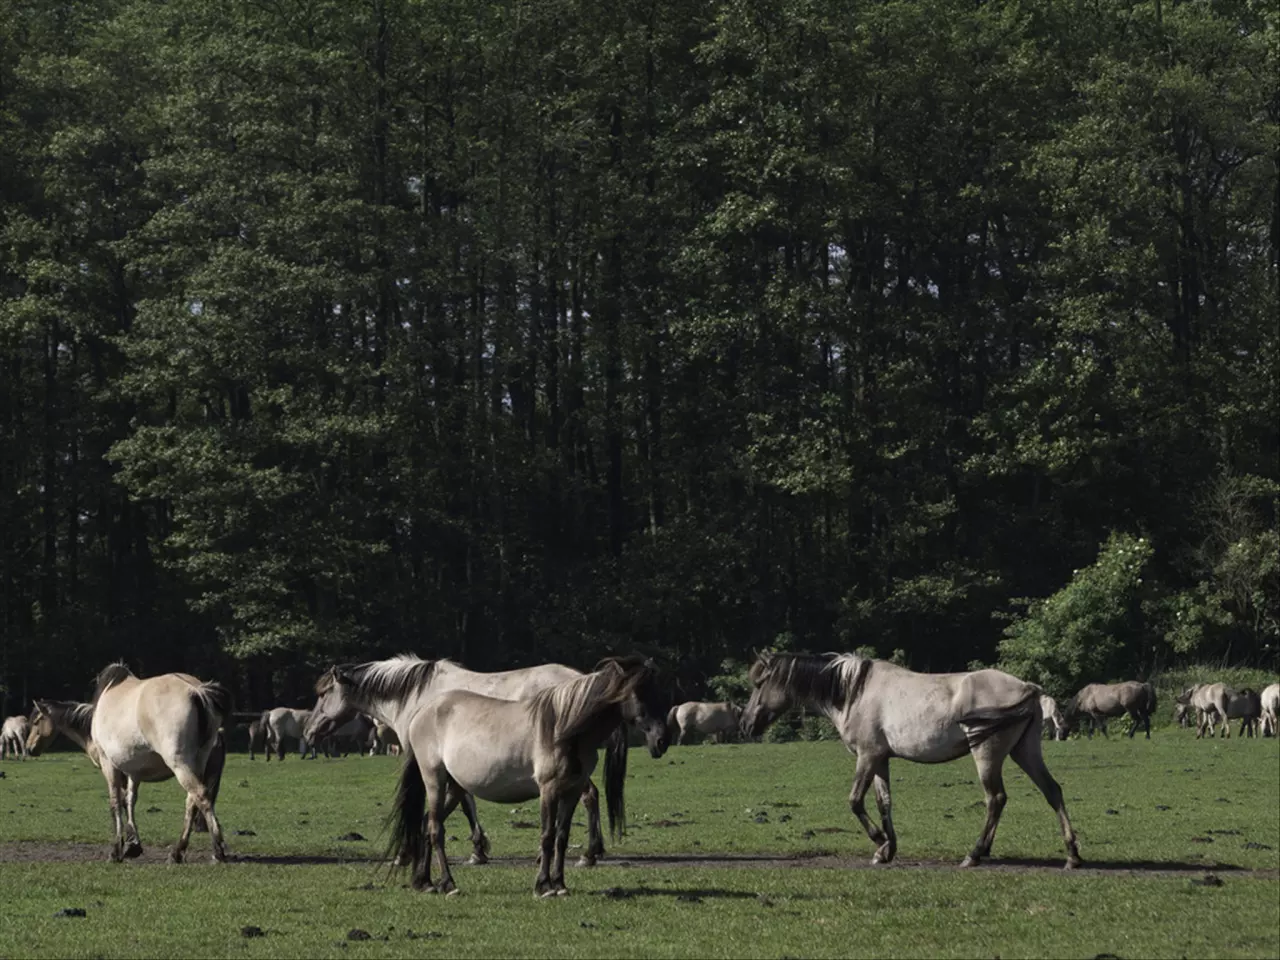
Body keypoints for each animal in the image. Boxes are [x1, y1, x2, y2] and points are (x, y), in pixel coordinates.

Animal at [88, 660, 231, 865]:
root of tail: (196, 691)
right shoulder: (134, 771)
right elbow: (129, 800)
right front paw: (132, 843)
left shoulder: (109, 763)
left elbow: (115, 801)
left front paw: (116, 849)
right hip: (198, 761)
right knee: (192, 801)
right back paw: (178, 851)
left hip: (180, 764)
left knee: (201, 796)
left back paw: (218, 850)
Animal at [309, 660, 629, 870]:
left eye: (323, 694)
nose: (310, 731)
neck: (416, 697)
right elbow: (465, 803)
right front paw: (478, 849)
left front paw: (408, 853)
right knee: (591, 796)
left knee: (589, 796)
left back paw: (587, 854)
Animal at [386, 660, 670, 901]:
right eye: (638, 693)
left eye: (660, 692)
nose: (661, 741)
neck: (563, 729)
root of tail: (422, 712)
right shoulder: (549, 789)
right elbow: (547, 835)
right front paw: (543, 886)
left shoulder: (572, 790)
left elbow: (562, 837)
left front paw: (560, 884)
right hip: (434, 779)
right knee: (436, 829)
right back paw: (448, 884)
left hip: (455, 788)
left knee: (427, 824)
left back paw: (424, 882)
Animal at [742, 655, 1080, 870]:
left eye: (759, 684)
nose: (746, 725)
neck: (854, 692)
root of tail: (1028, 688)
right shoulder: (880, 760)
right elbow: (884, 803)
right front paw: (886, 850)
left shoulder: (867, 757)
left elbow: (855, 801)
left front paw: (879, 842)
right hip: (1025, 752)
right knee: (1052, 791)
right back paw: (1072, 855)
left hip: (987, 755)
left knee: (995, 799)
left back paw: (975, 854)